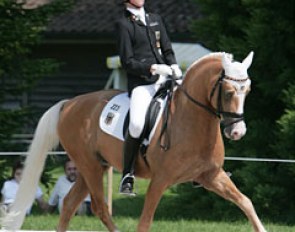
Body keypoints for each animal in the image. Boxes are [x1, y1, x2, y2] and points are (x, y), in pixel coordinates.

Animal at [0, 51, 268, 231]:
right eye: (229, 92)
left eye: (248, 91)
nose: (237, 132)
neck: (191, 120)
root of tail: (70, 103)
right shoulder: (160, 180)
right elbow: (145, 221)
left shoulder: (211, 175)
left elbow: (246, 202)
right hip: (89, 166)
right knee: (99, 207)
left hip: (93, 167)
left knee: (69, 204)